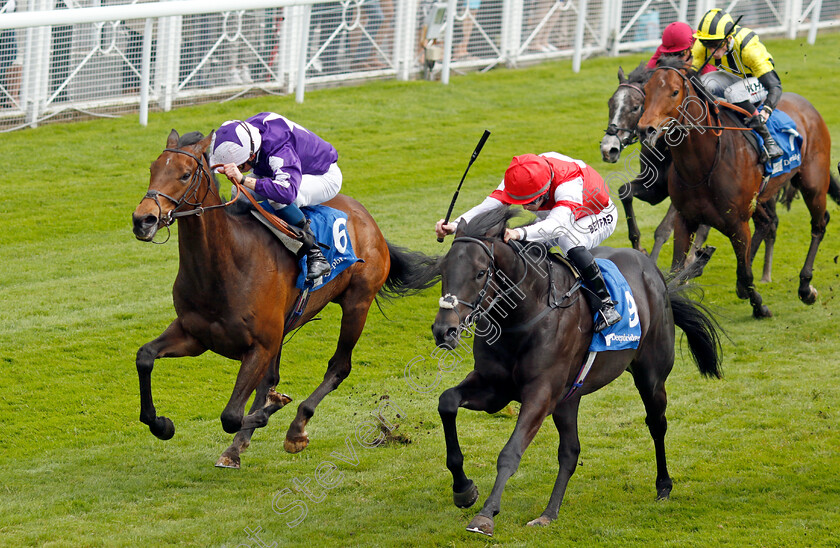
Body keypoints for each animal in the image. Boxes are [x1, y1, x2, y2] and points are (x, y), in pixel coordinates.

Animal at [131, 128, 440, 466]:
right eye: (152, 169)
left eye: (185, 174)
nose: (143, 220)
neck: (226, 266)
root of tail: (370, 221)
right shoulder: (195, 335)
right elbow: (145, 356)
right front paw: (162, 424)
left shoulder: (260, 344)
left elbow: (231, 415)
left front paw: (272, 409)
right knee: (272, 378)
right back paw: (240, 444)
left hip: (357, 303)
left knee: (339, 367)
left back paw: (296, 428)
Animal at [426, 209, 720, 536]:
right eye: (442, 270)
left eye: (480, 273)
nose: (444, 330)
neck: (524, 315)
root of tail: (655, 274)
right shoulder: (494, 388)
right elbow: (447, 402)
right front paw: (464, 489)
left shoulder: (541, 393)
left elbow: (510, 452)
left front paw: (486, 514)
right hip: (569, 398)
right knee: (570, 451)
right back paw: (548, 513)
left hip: (651, 377)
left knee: (657, 424)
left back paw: (664, 486)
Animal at [640, 57, 832, 316]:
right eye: (646, 90)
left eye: (674, 92)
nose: (645, 129)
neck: (702, 167)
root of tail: (808, 106)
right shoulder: (685, 219)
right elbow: (676, 271)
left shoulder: (737, 224)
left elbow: (745, 272)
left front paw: (760, 307)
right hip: (760, 198)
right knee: (767, 222)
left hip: (813, 184)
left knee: (819, 224)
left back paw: (805, 286)